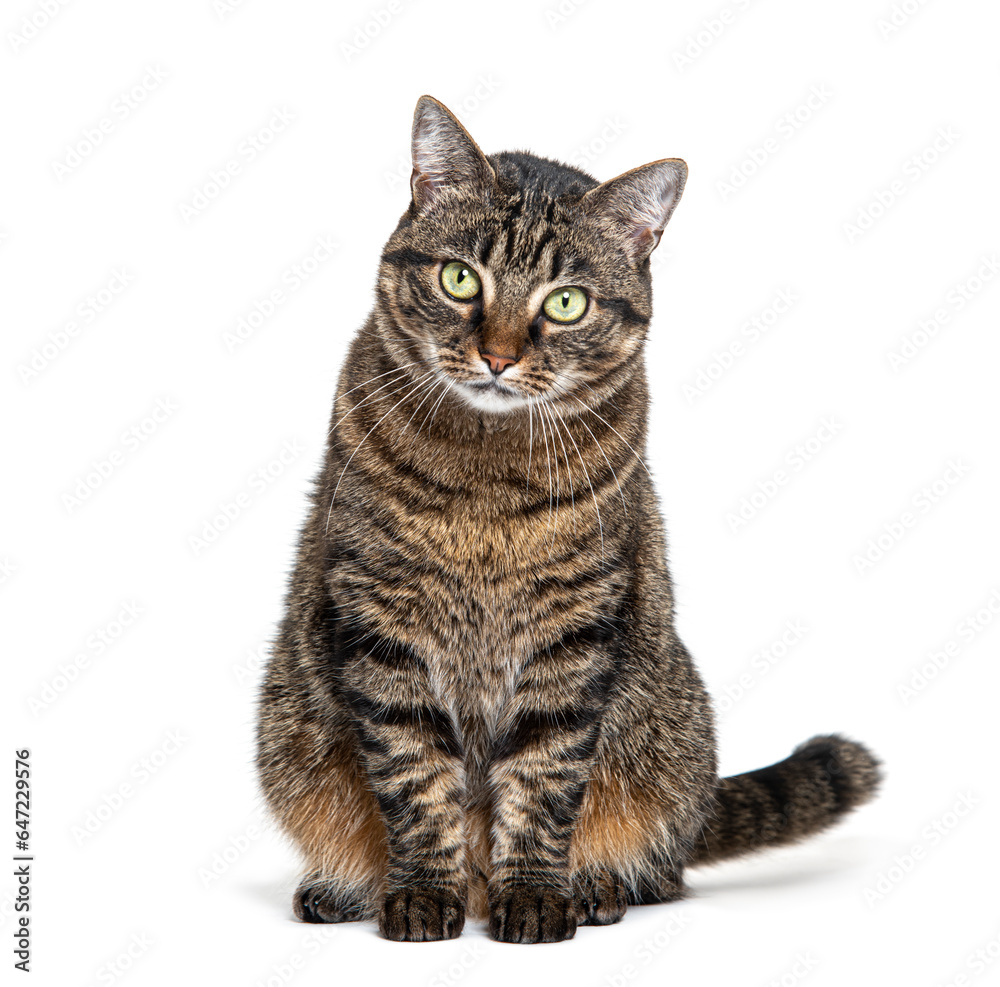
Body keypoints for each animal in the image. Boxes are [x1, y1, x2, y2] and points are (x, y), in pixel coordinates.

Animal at [258, 96, 884, 944]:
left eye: (565, 302)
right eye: (460, 278)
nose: (496, 355)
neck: (486, 476)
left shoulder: (575, 627)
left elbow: (545, 773)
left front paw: (533, 892)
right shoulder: (379, 617)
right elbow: (416, 775)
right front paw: (422, 889)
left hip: (671, 734)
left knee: (661, 867)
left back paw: (594, 884)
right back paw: (341, 887)